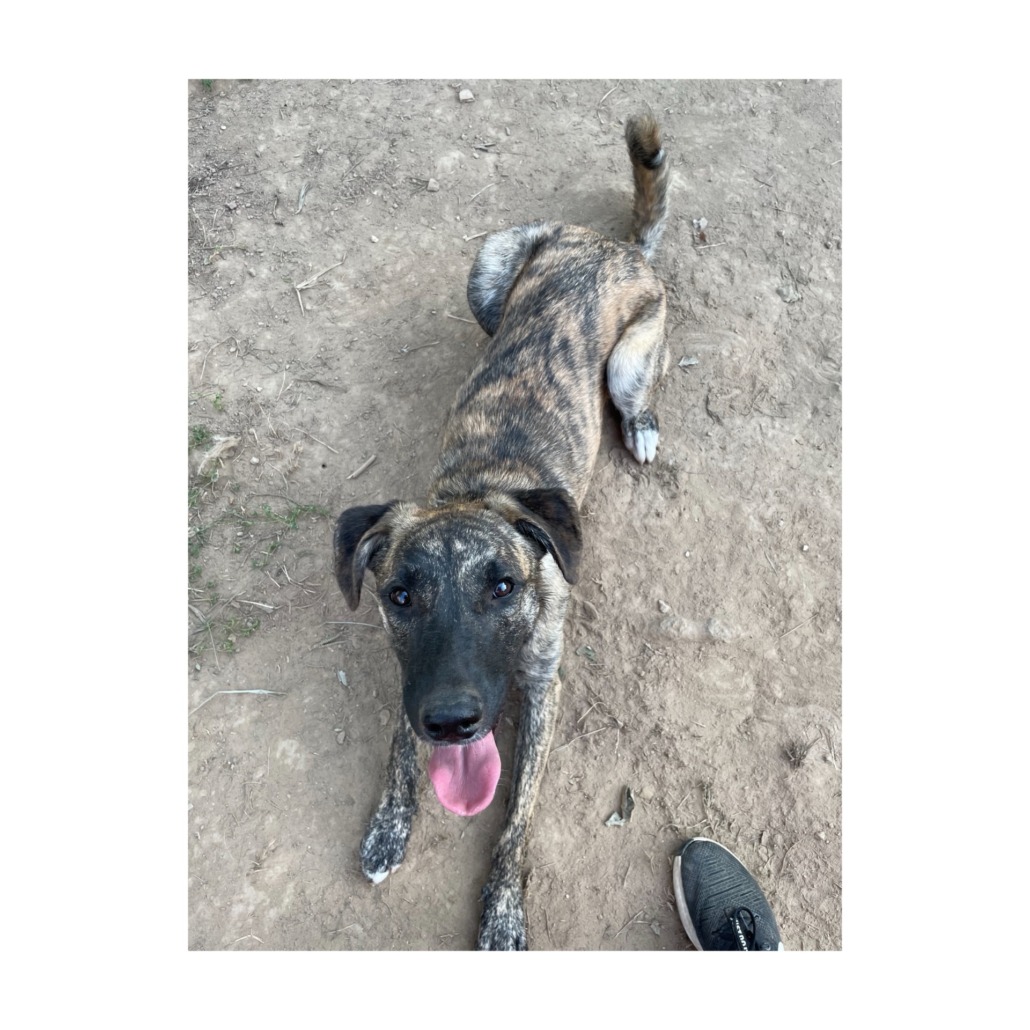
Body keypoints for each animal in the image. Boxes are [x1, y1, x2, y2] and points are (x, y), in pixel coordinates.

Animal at [334, 114, 671, 950]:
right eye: (399, 595)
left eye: (503, 586)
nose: (454, 722)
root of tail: (613, 246)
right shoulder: (413, 677)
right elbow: (398, 747)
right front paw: (389, 826)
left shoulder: (547, 688)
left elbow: (516, 817)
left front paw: (503, 909)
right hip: (487, 267)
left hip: (628, 361)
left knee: (639, 390)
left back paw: (644, 428)